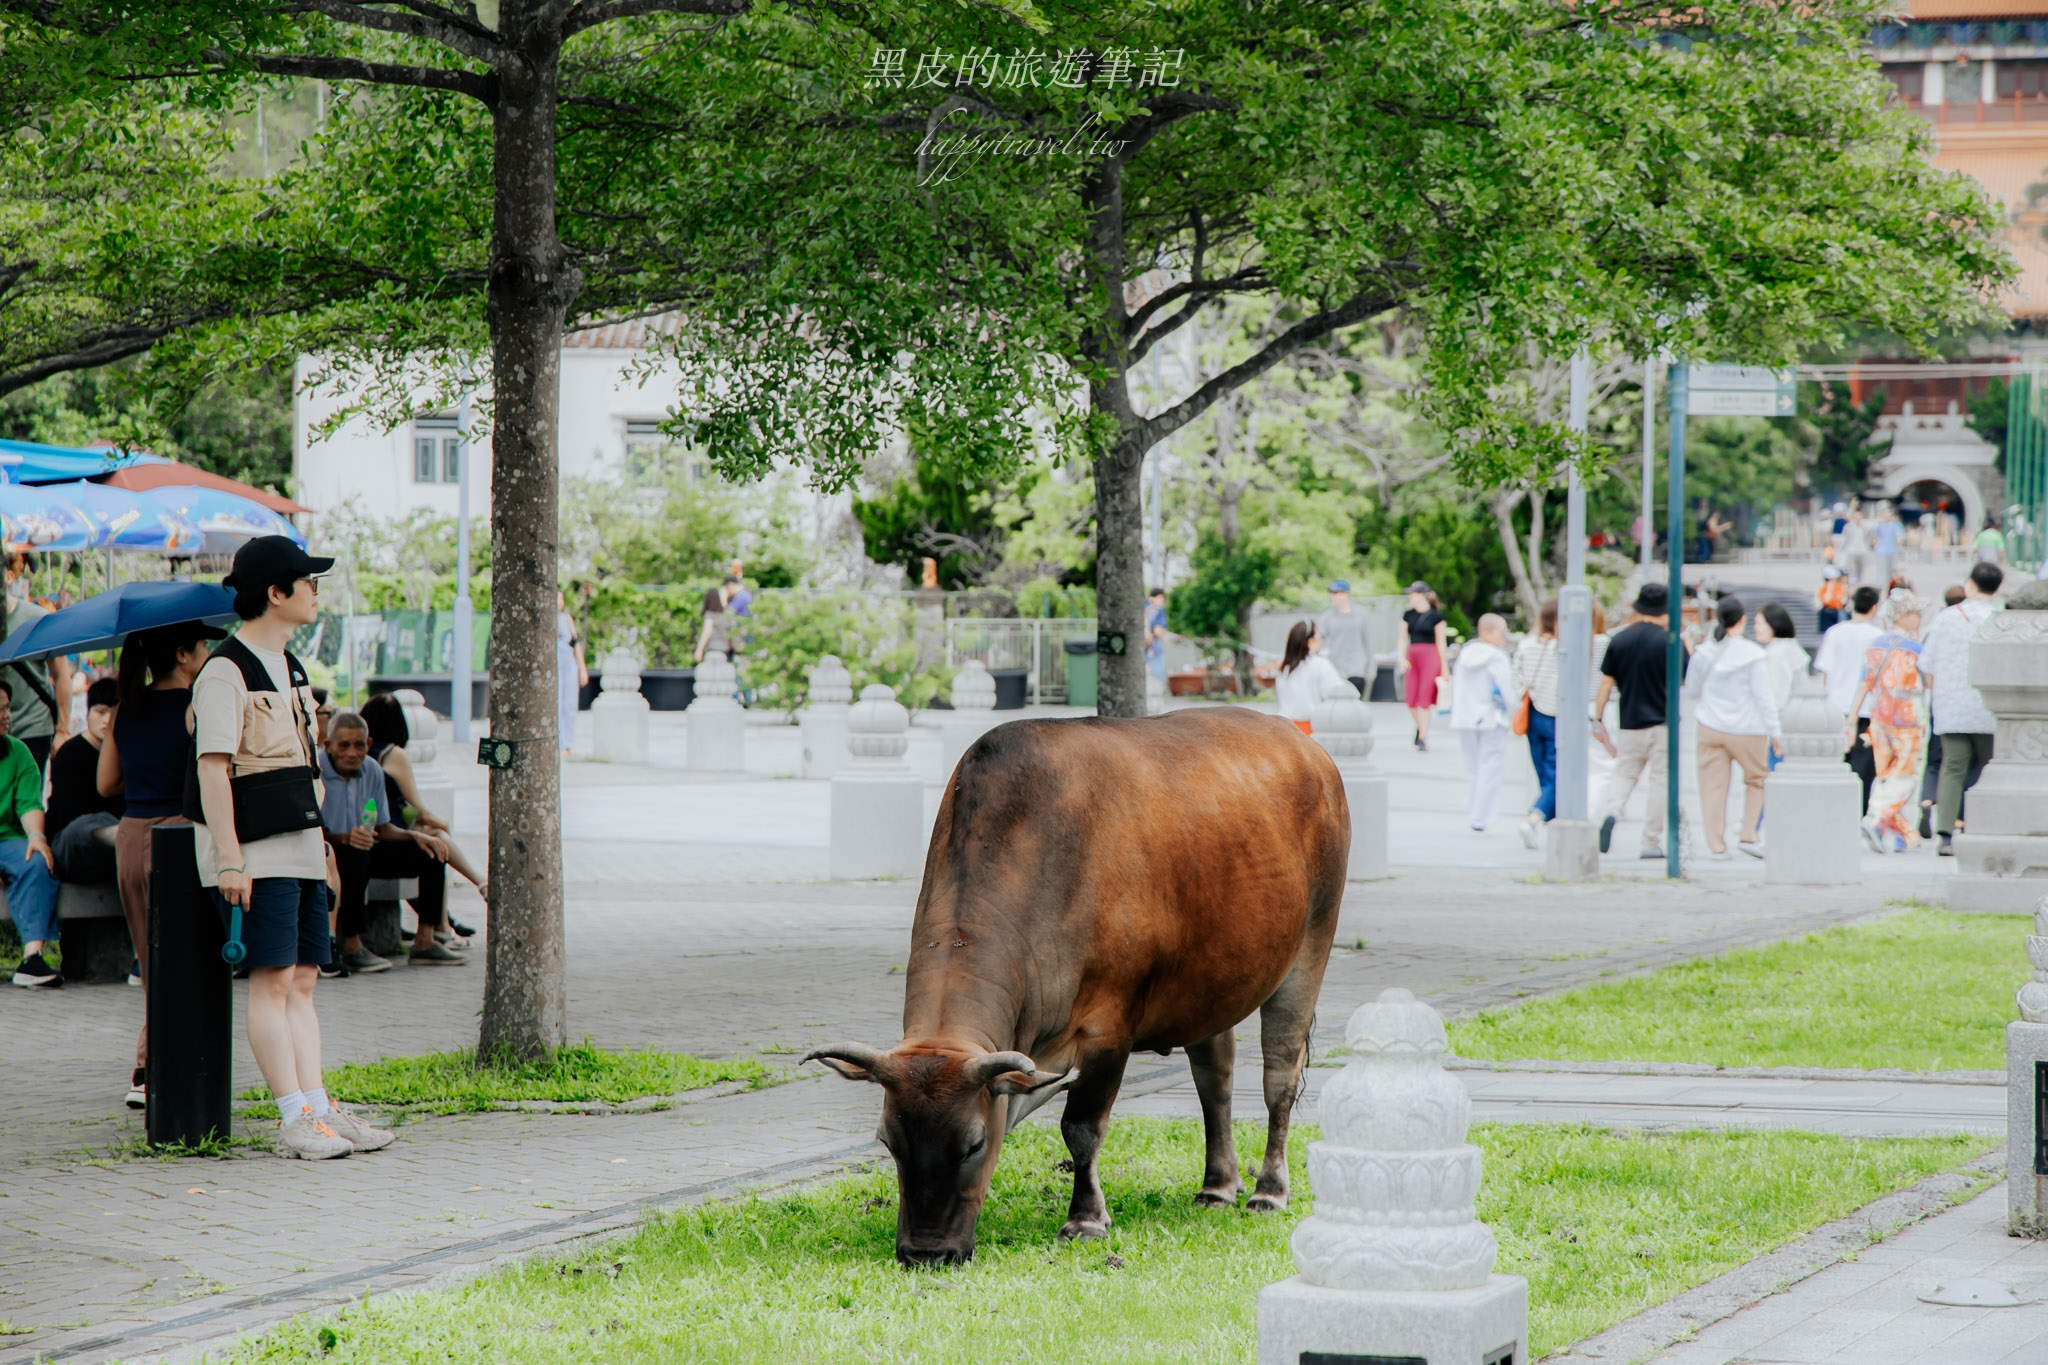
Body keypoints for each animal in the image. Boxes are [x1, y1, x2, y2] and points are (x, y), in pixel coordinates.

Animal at [806, 712, 1351, 1268]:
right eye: (888, 1141)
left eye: (975, 1144)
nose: (926, 1253)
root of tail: (1305, 746)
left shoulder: (1109, 1031)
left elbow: (1081, 1129)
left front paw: (1085, 1219)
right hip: (1210, 985)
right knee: (1214, 1076)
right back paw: (1217, 1187)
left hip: (1311, 945)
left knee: (1278, 1077)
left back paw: (1269, 1190)